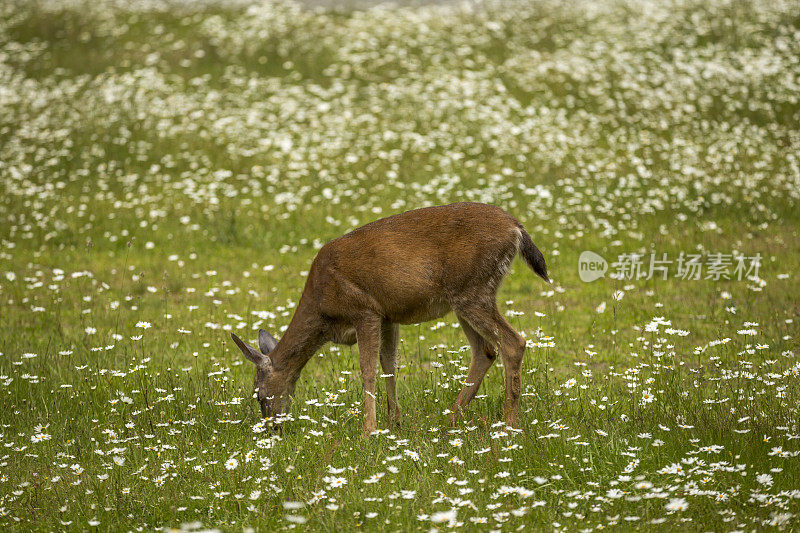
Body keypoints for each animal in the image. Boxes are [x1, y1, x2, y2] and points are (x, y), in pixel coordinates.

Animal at [230, 202, 552, 434]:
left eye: (259, 394)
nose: (272, 429)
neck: (322, 310)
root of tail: (516, 228)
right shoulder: (388, 316)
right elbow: (389, 365)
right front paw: (393, 421)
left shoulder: (365, 310)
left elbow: (368, 370)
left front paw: (368, 431)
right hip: (464, 296)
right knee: (485, 350)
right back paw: (452, 418)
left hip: (473, 289)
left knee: (513, 342)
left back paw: (509, 425)